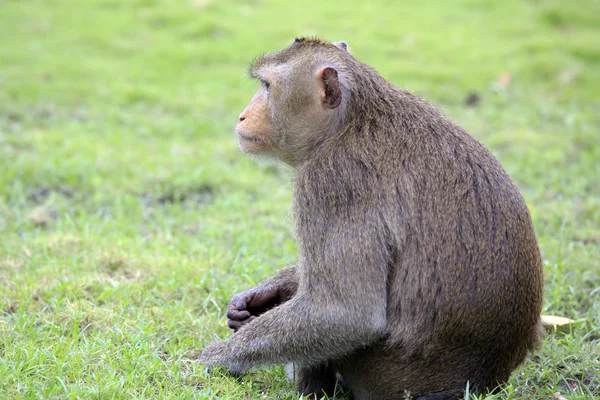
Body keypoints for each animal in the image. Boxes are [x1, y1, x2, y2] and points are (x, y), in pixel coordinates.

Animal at [200, 37, 544, 400]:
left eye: (267, 86)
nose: (242, 116)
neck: (351, 121)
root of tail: (484, 382)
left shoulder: (331, 182)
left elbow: (343, 314)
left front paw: (210, 357)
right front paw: (260, 296)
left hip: (388, 375)